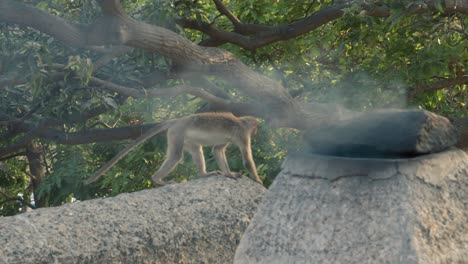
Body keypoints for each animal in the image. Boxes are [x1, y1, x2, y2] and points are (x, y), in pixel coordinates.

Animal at [83, 112, 260, 185]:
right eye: (255, 128)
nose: (256, 133)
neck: (241, 121)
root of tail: (179, 120)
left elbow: (217, 150)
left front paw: (228, 174)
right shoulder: (243, 135)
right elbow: (247, 160)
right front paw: (258, 180)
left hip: (184, 137)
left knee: (196, 149)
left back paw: (203, 174)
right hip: (177, 133)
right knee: (176, 156)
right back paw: (157, 179)